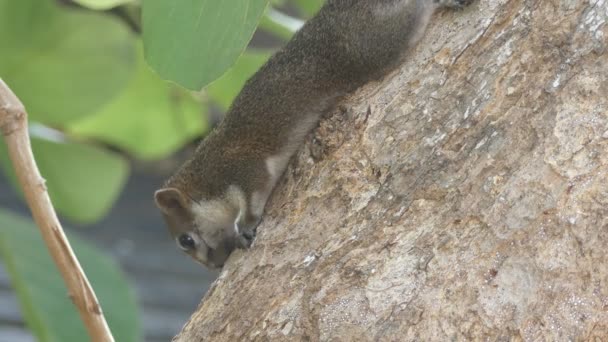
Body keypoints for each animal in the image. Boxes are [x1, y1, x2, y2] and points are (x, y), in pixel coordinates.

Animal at [152, 0, 470, 270]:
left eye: (185, 240)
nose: (215, 267)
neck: (206, 175)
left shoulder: (242, 167)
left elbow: (253, 199)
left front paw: (246, 227)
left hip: (369, 44)